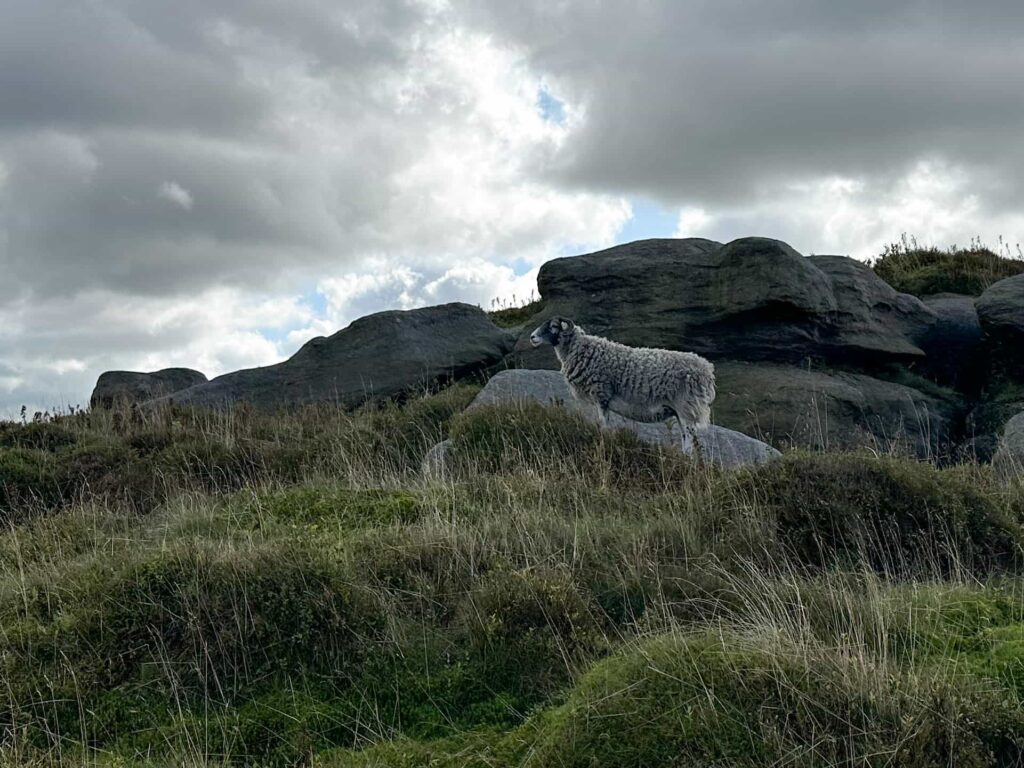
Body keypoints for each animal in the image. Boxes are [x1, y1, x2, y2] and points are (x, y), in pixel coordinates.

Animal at [532, 317, 716, 454]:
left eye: (553, 326)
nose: (532, 337)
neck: (579, 349)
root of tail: (707, 369)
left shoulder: (602, 394)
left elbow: (604, 424)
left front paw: (604, 442)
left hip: (687, 407)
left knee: (689, 439)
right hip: (680, 411)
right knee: (686, 437)